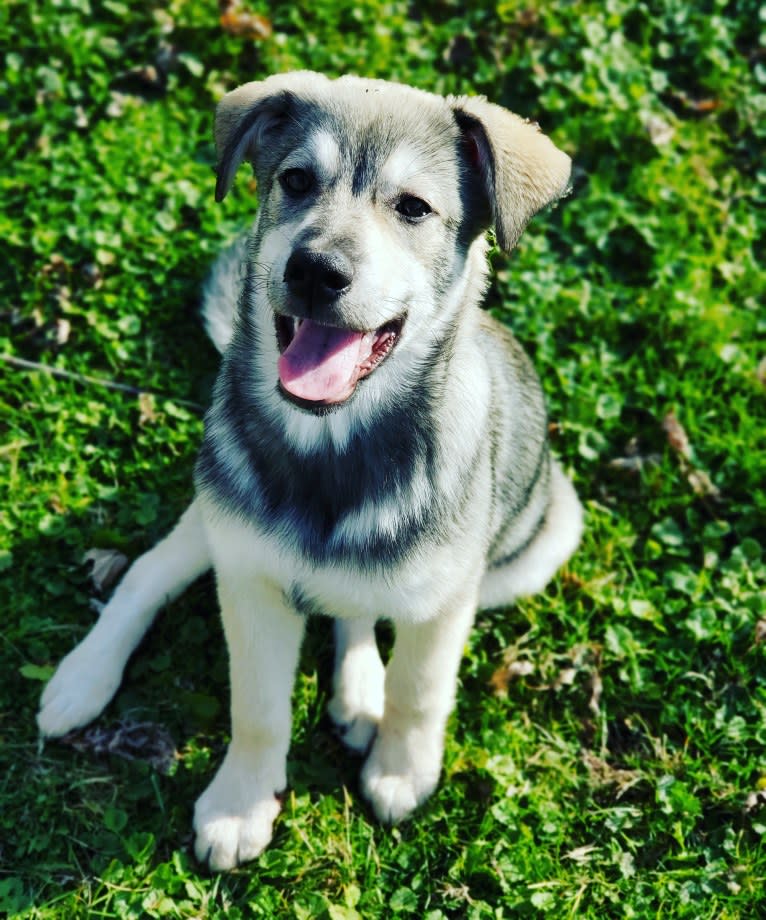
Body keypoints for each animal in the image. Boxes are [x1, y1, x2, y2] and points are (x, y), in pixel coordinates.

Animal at [37, 73, 584, 868]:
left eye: (413, 207)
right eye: (295, 181)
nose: (315, 272)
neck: (333, 446)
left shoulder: (446, 600)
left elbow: (420, 688)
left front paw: (400, 767)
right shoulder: (250, 580)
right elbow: (258, 707)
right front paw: (240, 804)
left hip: (538, 546)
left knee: (358, 606)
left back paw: (360, 696)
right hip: (215, 516)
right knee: (146, 573)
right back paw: (84, 676)